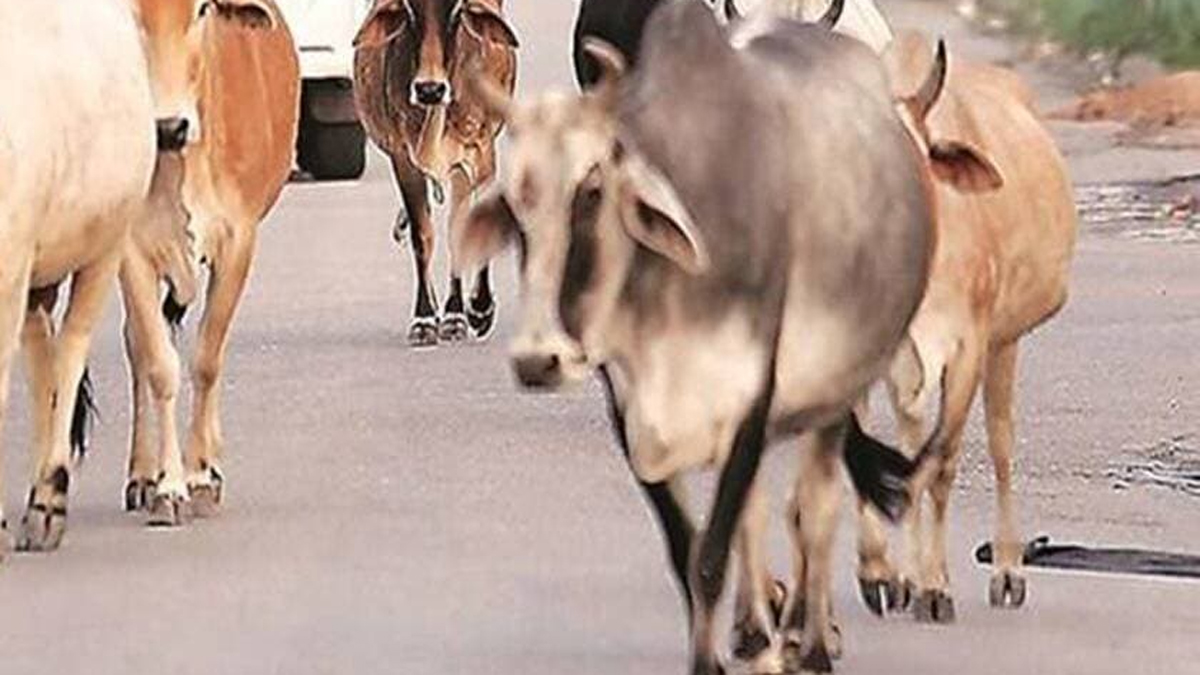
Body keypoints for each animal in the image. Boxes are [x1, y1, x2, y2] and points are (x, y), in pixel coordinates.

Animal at [121, 0, 300, 526]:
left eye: (202, 9)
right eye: (129, 12)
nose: (168, 127)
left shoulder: (238, 242)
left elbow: (206, 359)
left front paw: (200, 475)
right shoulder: (131, 250)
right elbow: (159, 365)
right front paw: (168, 485)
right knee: (137, 345)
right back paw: (143, 474)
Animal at [353, 0, 518, 347]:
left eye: (458, 10)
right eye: (407, 10)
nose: (430, 89)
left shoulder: (477, 154)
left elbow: (463, 229)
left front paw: (472, 311)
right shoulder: (403, 158)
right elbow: (422, 236)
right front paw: (425, 317)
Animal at [452, 3, 1004, 671]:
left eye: (592, 188)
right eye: (514, 206)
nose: (539, 359)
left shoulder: (753, 393)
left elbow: (724, 547)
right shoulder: (633, 404)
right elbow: (691, 544)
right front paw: (738, 640)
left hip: (839, 382)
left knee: (817, 506)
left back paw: (813, 640)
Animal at [841, 31, 1079, 624]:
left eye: (916, 157)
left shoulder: (967, 346)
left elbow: (943, 462)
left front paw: (935, 587)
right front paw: (883, 574)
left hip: (1004, 342)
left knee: (999, 445)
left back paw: (1008, 571)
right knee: (911, 438)